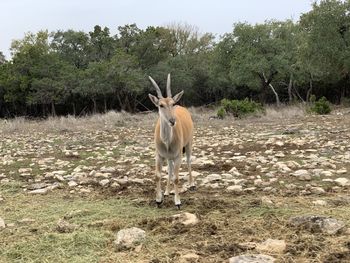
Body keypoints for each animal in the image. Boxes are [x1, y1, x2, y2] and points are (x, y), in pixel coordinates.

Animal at [149, 73, 196, 208]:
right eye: (161, 105)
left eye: (172, 103)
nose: (172, 121)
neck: (166, 142)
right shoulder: (159, 156)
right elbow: (158, 175)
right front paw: (159, 199)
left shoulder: (178, 156)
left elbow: (176, 178)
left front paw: (178, 201)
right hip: (169, 157)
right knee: (170, 169)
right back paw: (167, 191)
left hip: (189, 144)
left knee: (189, 161)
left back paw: (192, 184)